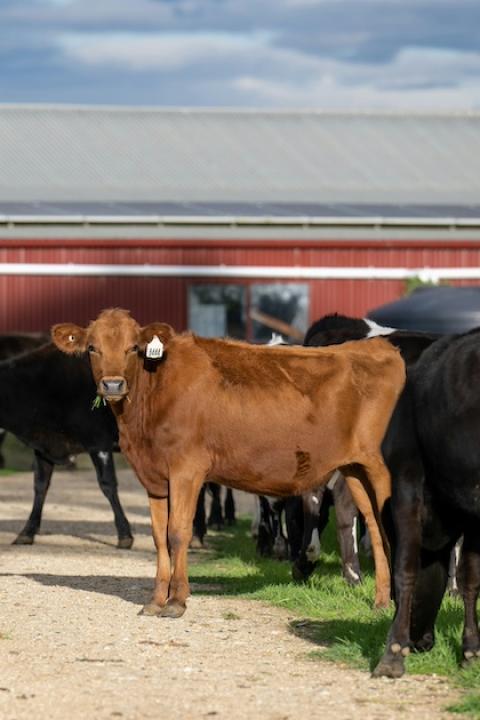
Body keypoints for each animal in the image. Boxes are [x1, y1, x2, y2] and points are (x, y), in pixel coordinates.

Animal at [52, 308, 405, 618]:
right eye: (92, 347)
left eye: (134, 348)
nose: (113, 385)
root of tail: (378, 348)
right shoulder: (154, 478)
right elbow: (157, 535)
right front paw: (155, 601)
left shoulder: (186, 470)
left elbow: (177, 532)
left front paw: (176, 601)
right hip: (356, 469)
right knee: (374, 526)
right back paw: (380, 602)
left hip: (381, 468)